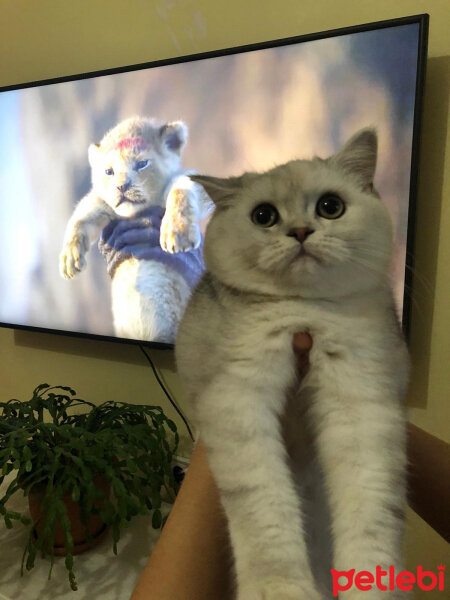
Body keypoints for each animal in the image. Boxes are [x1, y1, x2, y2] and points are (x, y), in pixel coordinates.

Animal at [59, 117, 212, 342]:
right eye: (109, 171)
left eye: (142, 164)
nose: (121, 187)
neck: (136, 214)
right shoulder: (104, 203)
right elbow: (82, 215)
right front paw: (69, 259)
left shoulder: (195, 185)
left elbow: (181, 189)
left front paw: (177, 233)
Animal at [176, 129, 412, 596]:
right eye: (263, 216)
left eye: (331, 207)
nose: (301, 231)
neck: (306, 314)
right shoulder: (236, 399)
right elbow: (265, 514)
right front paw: (280, 589)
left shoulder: (361, 403)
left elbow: (369, 514)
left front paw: (369, 585)